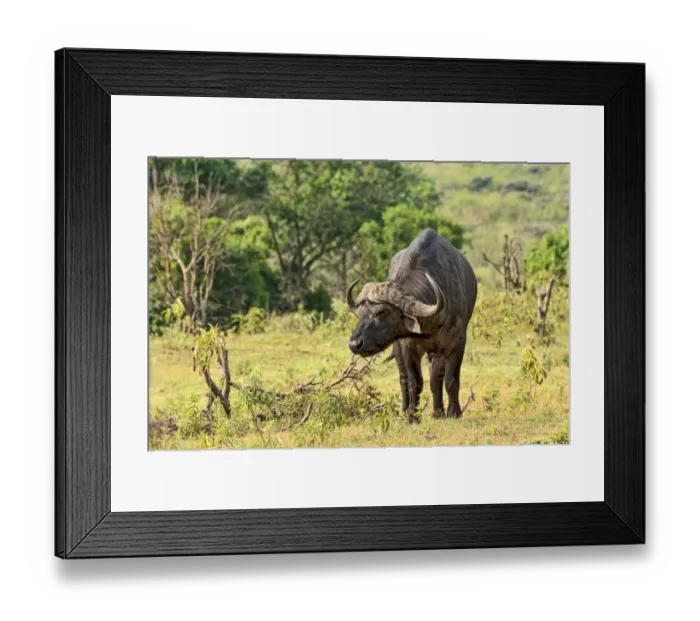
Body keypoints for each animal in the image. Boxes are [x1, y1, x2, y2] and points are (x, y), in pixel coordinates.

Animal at [346, 229, 478, 423]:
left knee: (436, 377)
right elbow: (414, 381)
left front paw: (453, 412)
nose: (355, 344)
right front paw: (412, 416)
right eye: (361, 313)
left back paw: (438, 411)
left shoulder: (457, 341)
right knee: (403, 378)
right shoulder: (408, 345)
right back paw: (405, 408)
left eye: (382, 312)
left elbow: (450, 379)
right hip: (399, 349)